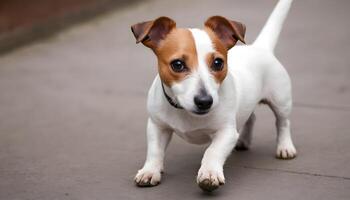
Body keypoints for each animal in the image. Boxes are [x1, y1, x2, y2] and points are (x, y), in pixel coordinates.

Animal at [131, 0, 296, 191]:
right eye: (177, 64)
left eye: (218, 63)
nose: (204, 101)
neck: (185, 112)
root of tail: (260, 47)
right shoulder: (157, 126)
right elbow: (154, 150)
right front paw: (150, 171)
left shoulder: (226, 132)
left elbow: (213, 151)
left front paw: (209, 173)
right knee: (251, 118)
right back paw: (244, 140)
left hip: (281, 101)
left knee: (283, 123)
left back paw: (285, 147)